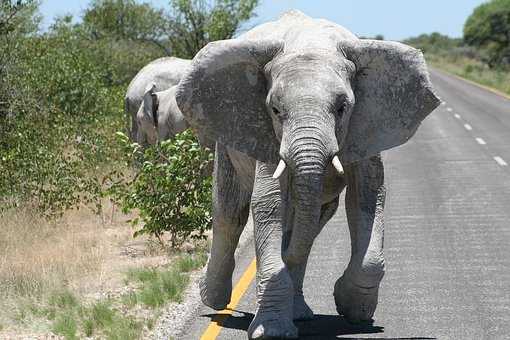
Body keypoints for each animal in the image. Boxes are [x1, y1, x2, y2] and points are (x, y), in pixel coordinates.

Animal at [174, 9, 438, 338]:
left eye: (342, 108)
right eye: (275, 110)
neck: (312, 43)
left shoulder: (367, 125)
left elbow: (368, 196)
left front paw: (354, 309)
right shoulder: (266, 132)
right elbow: (269, 204)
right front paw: (272, 331)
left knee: (309, 227)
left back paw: (299, 310)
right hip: (225, 135)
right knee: (230, 212)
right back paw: (214, 298)